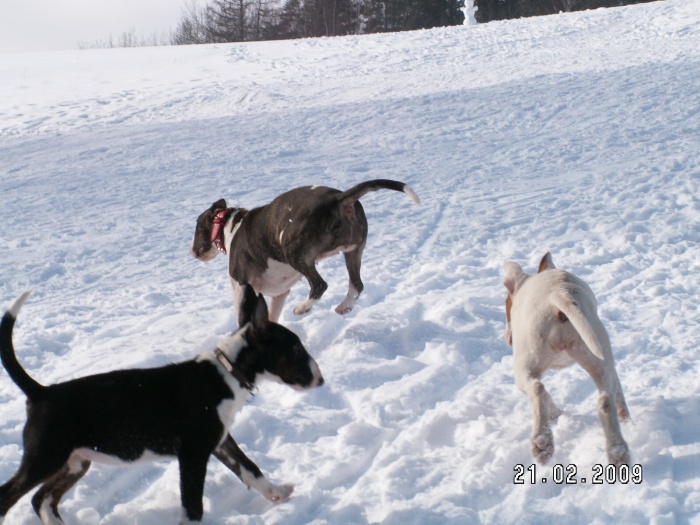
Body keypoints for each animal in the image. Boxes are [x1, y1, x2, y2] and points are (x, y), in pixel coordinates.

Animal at [0, 286, 322, 524]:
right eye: (295, 348)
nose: (320, 380)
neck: (227, 372)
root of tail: (40, 392)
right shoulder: (193, 454)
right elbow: (193, 506)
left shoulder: (220, 442)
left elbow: (249, 468)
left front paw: (278, 492)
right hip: (46, 457)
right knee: (10, 495)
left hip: (76, 461)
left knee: (42, 499)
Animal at [191, 178, 418, 322]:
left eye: (197, 225)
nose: (192, 252)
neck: (229, 225)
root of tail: (338, 199)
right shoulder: (279, 294)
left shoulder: (240, 285)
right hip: (353, 251)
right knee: (357, 285)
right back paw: (344, 306)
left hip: (294, 251)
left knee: (320, 285)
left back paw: (302, 307)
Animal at [500, 252, 632, 464]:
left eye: (507, 308)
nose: (507, 338)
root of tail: (560, 294)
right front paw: (625, 417)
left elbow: (544, 394)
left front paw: (554, 414)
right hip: (596, 352)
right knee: (606, 399)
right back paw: (618, 453)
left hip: (525, 362)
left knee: (537, 389)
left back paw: (542, 443)